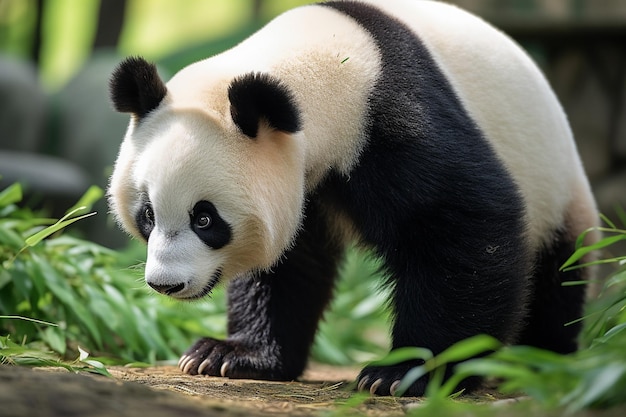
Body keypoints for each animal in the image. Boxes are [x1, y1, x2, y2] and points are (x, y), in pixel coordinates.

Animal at [109, 0, 596, 396]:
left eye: (205, 219)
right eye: (148, 215)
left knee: (557, 277)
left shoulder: (391, 119)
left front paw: (406, 373)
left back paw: (539, 359)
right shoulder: (306, 177)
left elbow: (462, 225)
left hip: (554, 187)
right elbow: (288, 265)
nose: (165, 284)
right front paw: (232, 354)